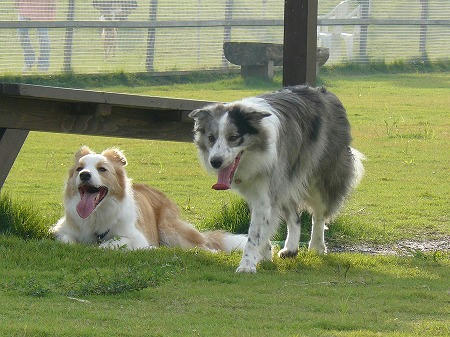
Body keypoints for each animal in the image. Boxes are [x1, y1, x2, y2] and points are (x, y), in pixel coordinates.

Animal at [51, 146, 246, 251]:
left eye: (102, 169)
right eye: (79, 168)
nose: (84, 175)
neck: (96, 215)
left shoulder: (137, 237)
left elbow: (113, 242)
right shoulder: (62, 229)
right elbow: (66, 240)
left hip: (170, 230)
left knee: (203, 246)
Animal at [188, 85, 364, 272]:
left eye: (233, 137)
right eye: (211, 138)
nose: (215, 162)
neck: (254, 153)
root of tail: (323, 92)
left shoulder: (266, 190)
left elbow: (254, 233)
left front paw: (247, 265)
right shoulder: (257, 191)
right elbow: (263, 227)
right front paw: (265, 255)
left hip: (321, 177)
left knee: (319, 214)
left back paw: (317, 246)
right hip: (286, 180)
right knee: (295, 217)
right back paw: (291, 249)